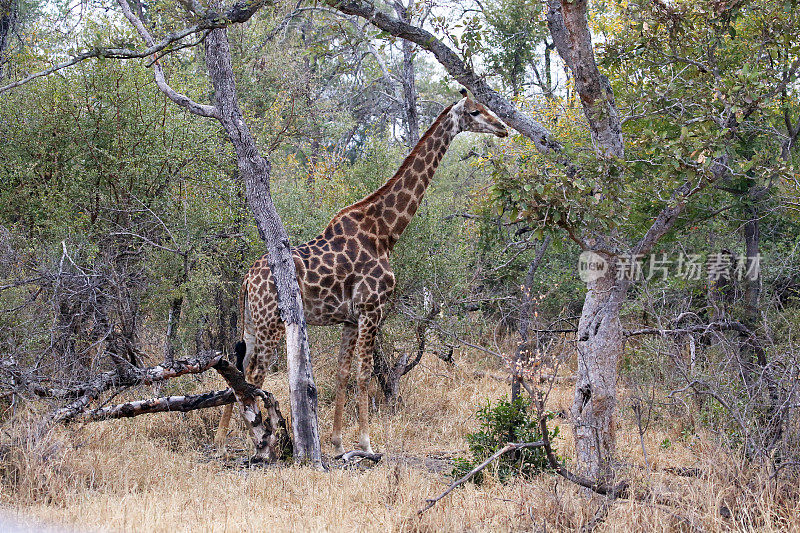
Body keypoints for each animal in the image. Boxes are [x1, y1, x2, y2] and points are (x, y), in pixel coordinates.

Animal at [216, 90, 510, 454]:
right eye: (475, 111)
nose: (503, 128)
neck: (385, 232)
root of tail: (246, 279)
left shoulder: (350, 319)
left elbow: (343, 373)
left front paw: (338, 441)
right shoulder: (372, 308)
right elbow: (365, 374)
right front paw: (367, 444)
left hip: (253, 321)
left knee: (238, 368)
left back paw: (221, 440)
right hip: (271, 322)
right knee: (255, 374)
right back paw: (261, 439)